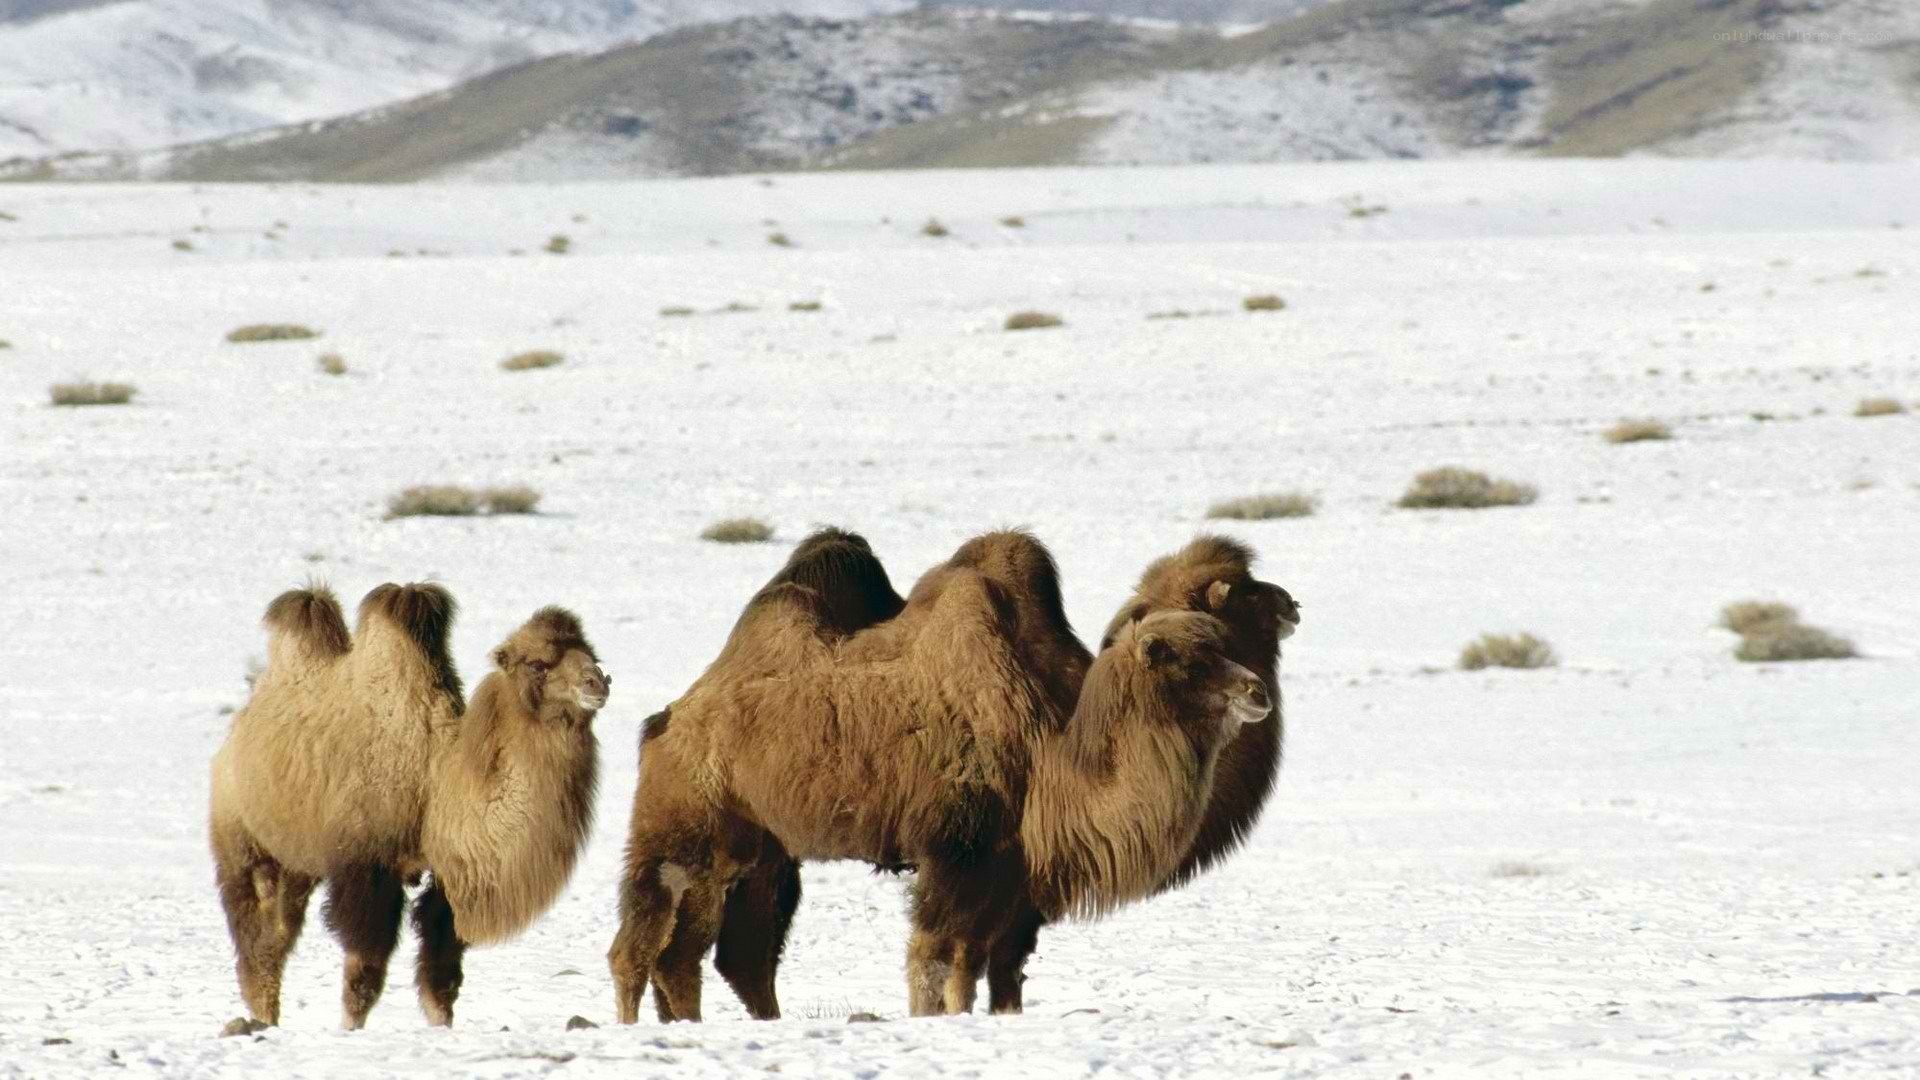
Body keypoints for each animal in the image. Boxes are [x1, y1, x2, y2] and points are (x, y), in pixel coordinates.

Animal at [208, 583, 607, 1032]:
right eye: (538, 664)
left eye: (593, 654)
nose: (597, 682)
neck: (434, 783)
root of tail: (239, 727)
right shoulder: (367, 866)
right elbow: (364, 969)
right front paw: (351, 1030)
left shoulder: (450, 875)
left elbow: (441, 969)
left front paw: (441, 1026)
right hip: (241, 837)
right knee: (254, 931)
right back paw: (261, 1016)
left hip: (298, 859)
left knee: (278, 931)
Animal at [609, 530, 1271, 1020]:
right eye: (1188, 658)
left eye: (1223, 643)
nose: (1256, 689)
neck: (1048, 754)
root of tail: (668, 720)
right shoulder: (955, 849)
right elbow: (932, 958)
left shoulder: (1004, 868)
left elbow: (975, 966)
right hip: (682, 825)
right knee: (641, 947)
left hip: (755, 849)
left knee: (712, 955)